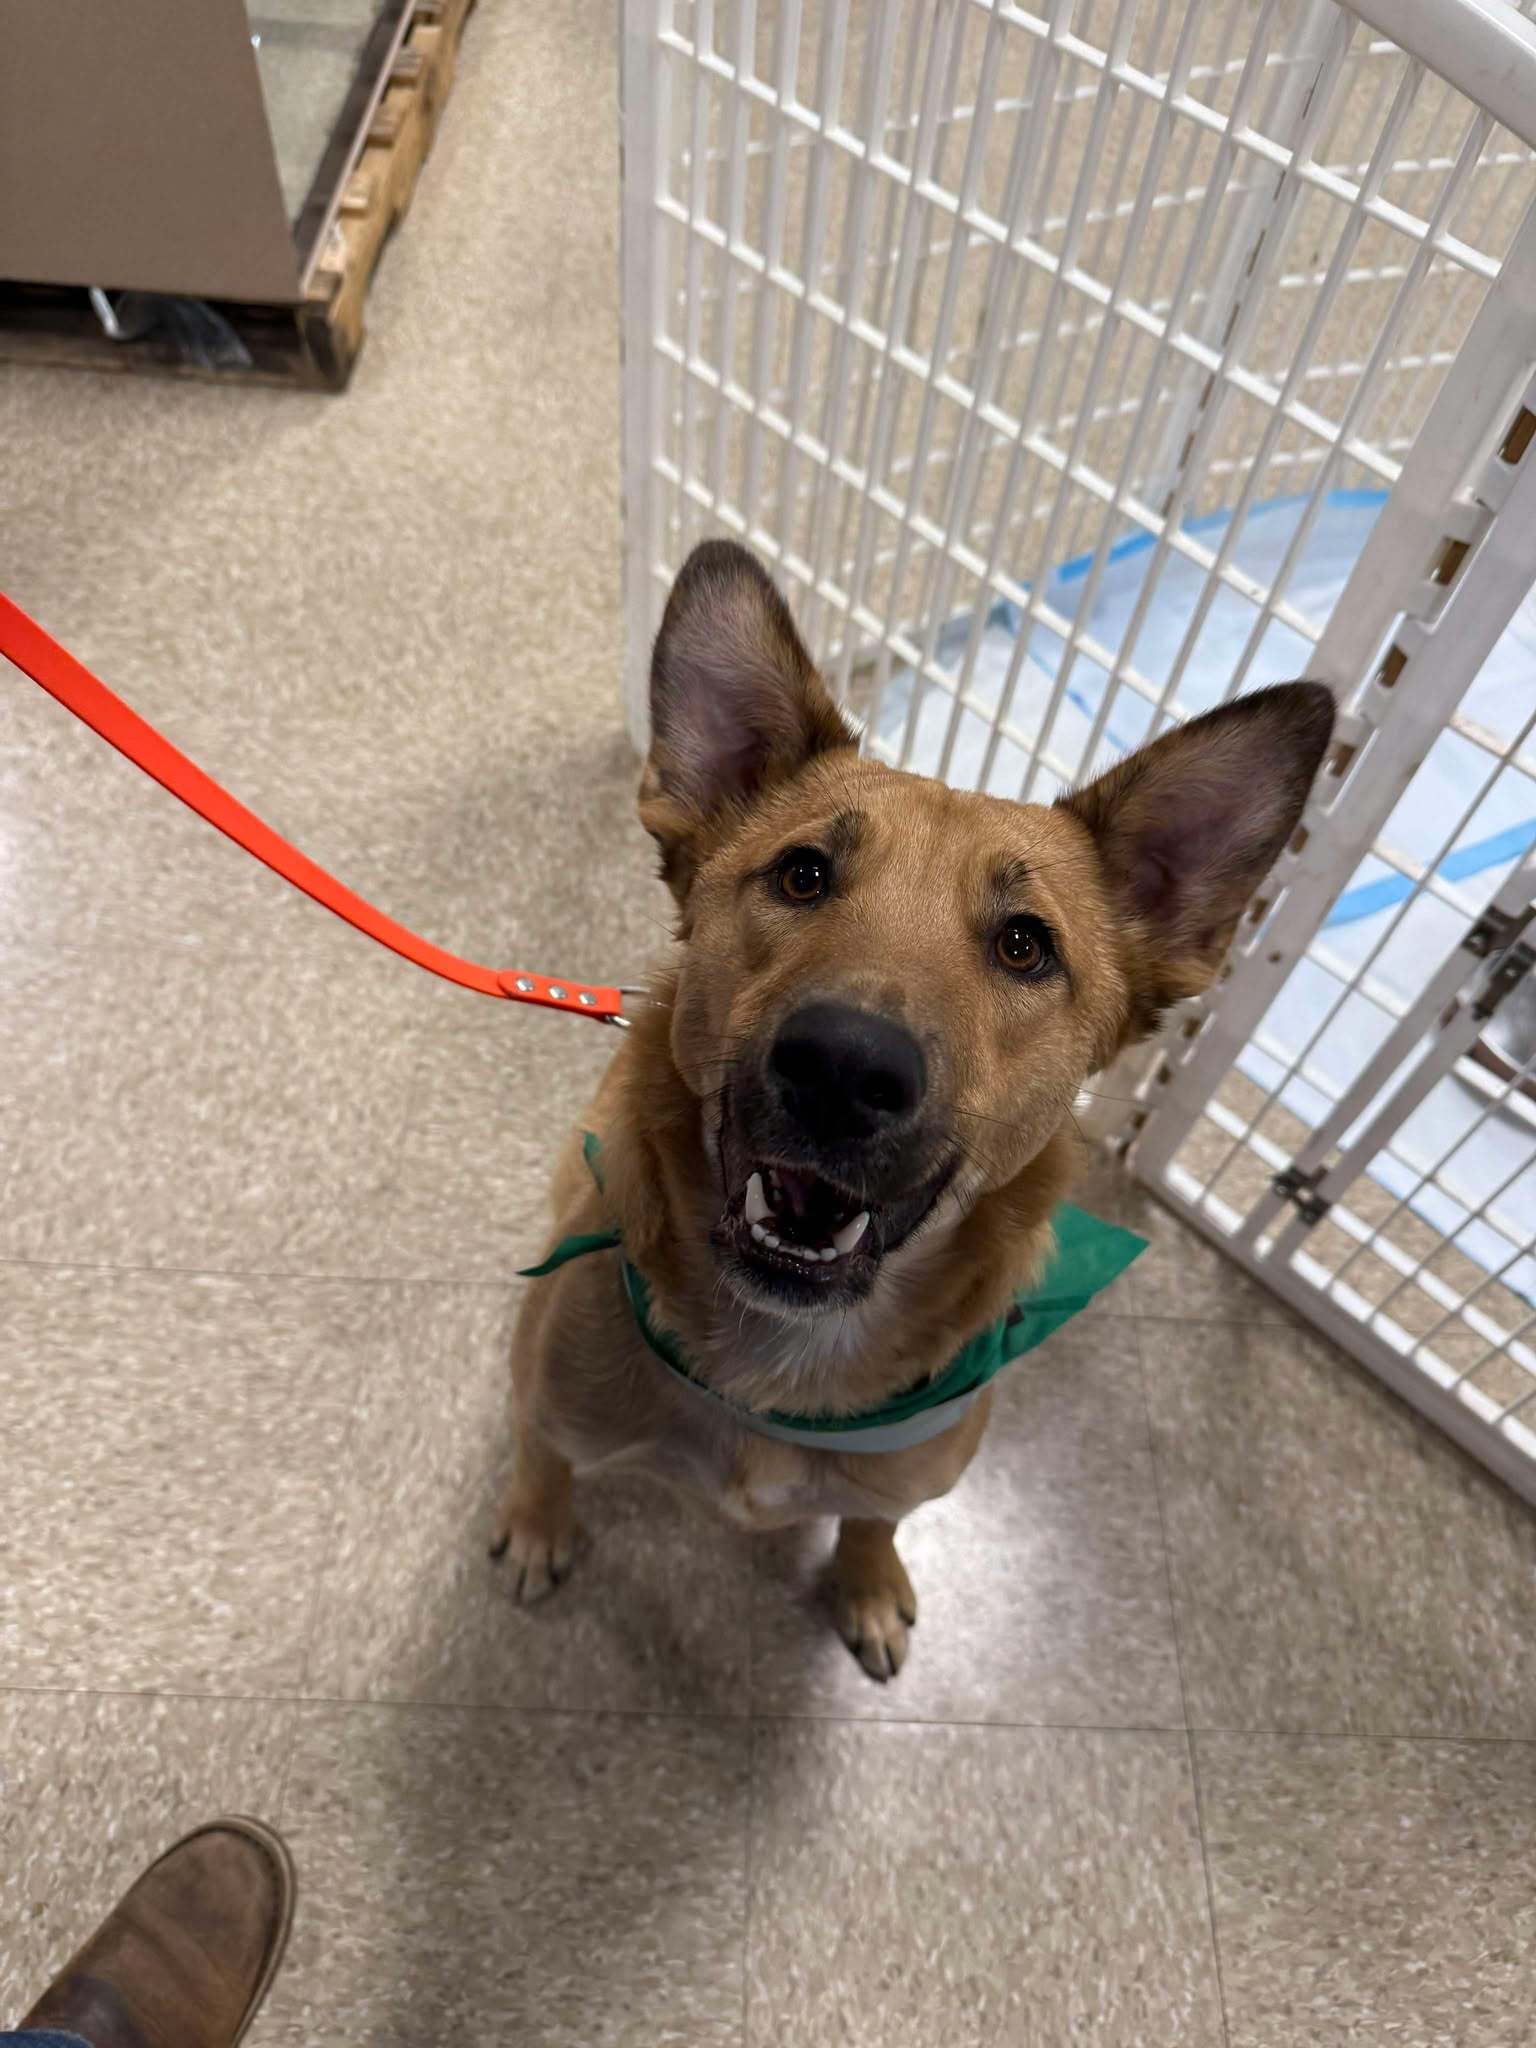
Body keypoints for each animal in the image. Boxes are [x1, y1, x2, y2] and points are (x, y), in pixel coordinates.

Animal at [495, 544, 1335, 1679]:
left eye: (1025, 945)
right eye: (803, 874)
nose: (842, 1068)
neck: (782, 1365)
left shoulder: (904, 1473)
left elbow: (874, 1519)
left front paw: (866, 1578)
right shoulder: (552, 1395)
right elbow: (544, 1456)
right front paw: (537, 1523)